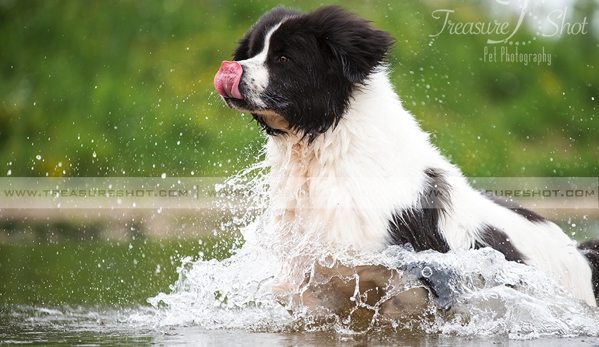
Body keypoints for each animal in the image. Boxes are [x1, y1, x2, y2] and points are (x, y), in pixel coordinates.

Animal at [216, 5, 599, 316]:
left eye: (284, 59)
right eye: (252, 52)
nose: (232, 69)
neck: (323, 152)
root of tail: (581, 253)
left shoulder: (411, 274)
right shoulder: (311, 272)